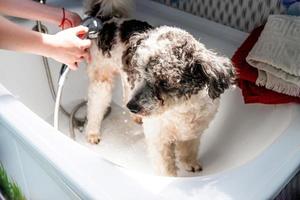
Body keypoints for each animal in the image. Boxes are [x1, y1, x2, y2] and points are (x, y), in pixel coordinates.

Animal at [84, 0, 234, 176]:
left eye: (164, 82)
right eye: (140, 72)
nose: (133, 107)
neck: (181, 109)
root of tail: (106, 20)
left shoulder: (193, 133)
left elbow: (189, 151)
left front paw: (190, 163)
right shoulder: (159, 141)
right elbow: (167, 170)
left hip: (126, 79)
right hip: (102, 79)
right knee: (95, 105)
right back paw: (93, 132)